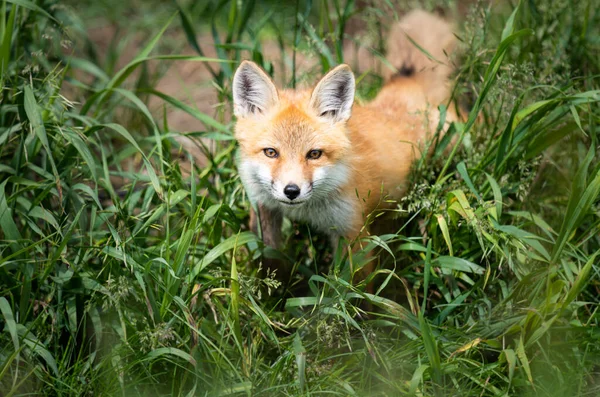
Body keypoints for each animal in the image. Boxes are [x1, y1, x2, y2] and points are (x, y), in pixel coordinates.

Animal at [232, 8, 458, 276]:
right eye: (270, 152)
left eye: (314, 154)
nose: (291, 191)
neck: (305, 212)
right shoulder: (264, 209)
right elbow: (270, 263)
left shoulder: (353, 230)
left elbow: (350, 284)